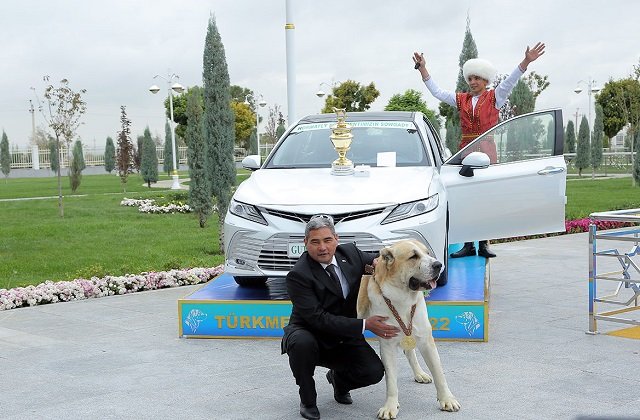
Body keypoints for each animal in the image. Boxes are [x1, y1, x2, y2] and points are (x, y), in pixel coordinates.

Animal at [356, 238, 460, 418]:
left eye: (427, 253)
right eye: (413, 256)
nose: (438, 264)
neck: (402, 299)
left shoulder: (425, 339)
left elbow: (439, 373)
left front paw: (447, 399)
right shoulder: (387, 344)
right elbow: (391, 380)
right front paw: (390, 406)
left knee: (410, 351)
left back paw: (419, 373)